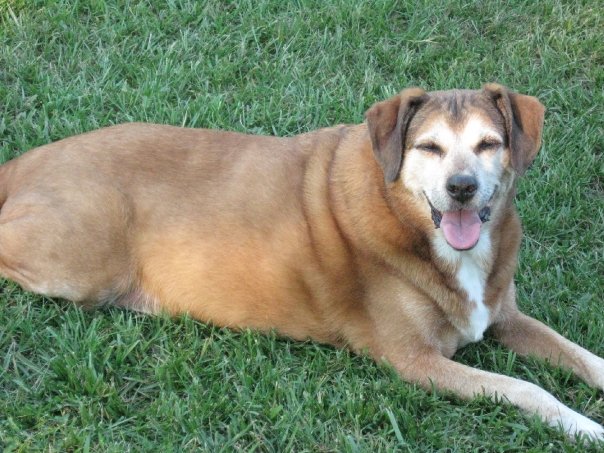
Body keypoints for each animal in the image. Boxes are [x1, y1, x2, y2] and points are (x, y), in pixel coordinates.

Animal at [0, 83, 600, 440]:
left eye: (489, 143)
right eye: (428, 147)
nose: (462, 188)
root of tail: (26, 161)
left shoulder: (504, 317)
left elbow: (581, 355)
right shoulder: (414, 361)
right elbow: (526, 388)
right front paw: (583, 426)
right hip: (78, 266)